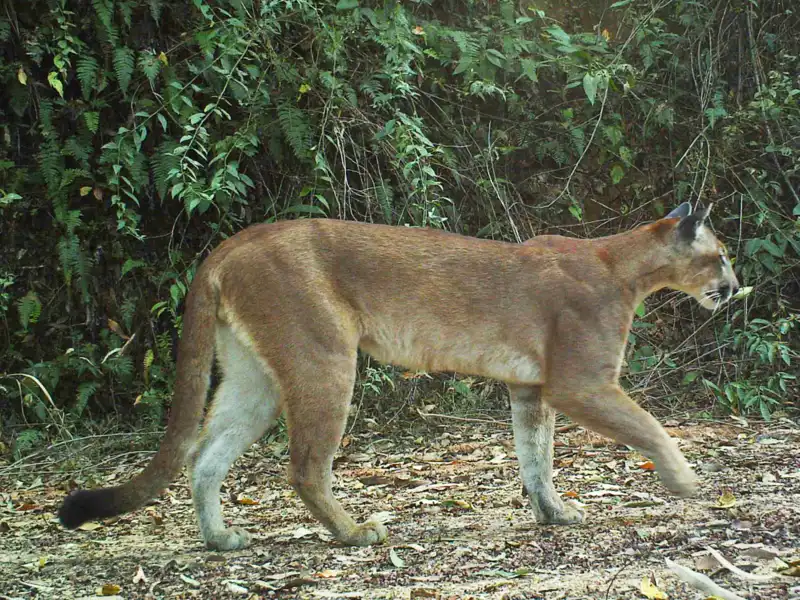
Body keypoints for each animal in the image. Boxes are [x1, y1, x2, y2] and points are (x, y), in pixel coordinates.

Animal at [61, 202, 736, 548]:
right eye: (721, 255)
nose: (733, 287)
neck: (625, 267)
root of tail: (231, 242)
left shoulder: (531, 388)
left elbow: (536, 457)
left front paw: (553, 514)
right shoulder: (581, 383)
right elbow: (650, 427)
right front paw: (685, 480)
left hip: (255, 378)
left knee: (205, 455)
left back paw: (221, 539)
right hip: (325, 360)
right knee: (304, 467)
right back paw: (356, 532)